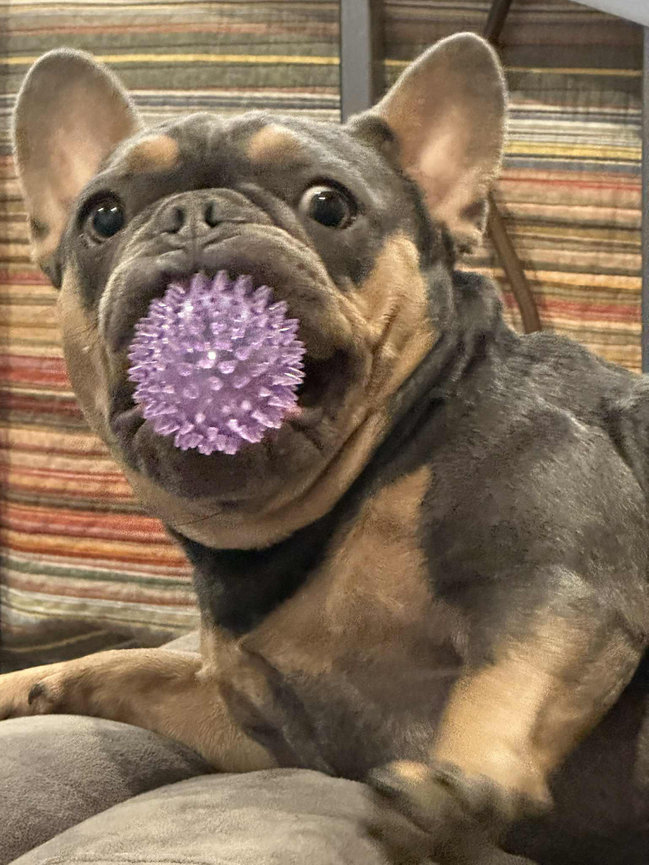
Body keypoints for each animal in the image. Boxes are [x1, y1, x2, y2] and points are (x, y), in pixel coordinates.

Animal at [2, 32, 649, 864]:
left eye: (328, 205)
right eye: (103, 215)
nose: (193, 214)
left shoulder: (557, 582)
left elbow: (508, 676)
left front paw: (457, 783)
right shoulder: (263, 728)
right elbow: (138, 666)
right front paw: (30, 681)